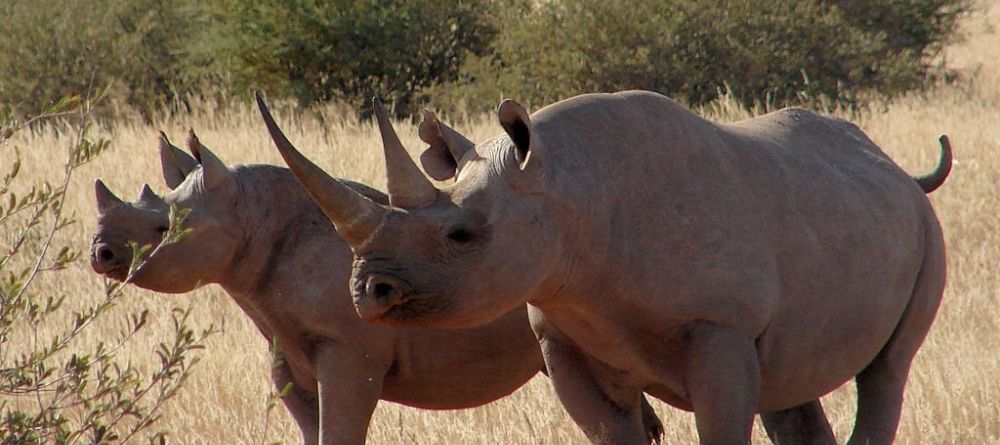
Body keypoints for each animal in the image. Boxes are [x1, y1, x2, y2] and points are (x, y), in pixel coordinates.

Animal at [90, 129, 665, 444]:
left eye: (162, 228)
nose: (102, 254)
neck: (254, 219)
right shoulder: (286, 352)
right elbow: (312, 430)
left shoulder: (349, 350)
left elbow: (340, 432)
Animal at [268, 90, 951, 444]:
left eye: (461, 236)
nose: (367, 291)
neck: (569, 191)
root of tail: (898, 169)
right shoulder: (562, 335)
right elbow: (608, 430)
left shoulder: (720, 327)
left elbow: (722, 424)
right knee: (793, 386)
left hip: (926, 231)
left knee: (888, 369)